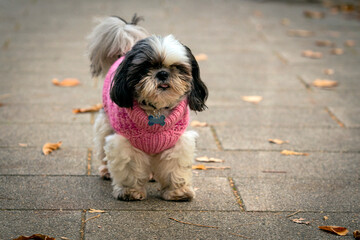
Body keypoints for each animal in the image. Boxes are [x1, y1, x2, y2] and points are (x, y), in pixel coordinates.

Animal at [87, 15, 208, 202]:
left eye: (177, 67)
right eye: (146, 67)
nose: (163, 73)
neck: (156, 110)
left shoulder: (177, 143)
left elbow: (175, 170)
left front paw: (177, 192)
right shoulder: (125, 144)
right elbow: (130, 169)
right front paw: (130, 191)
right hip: (105, 124)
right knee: (103, 148)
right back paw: (106, 171)